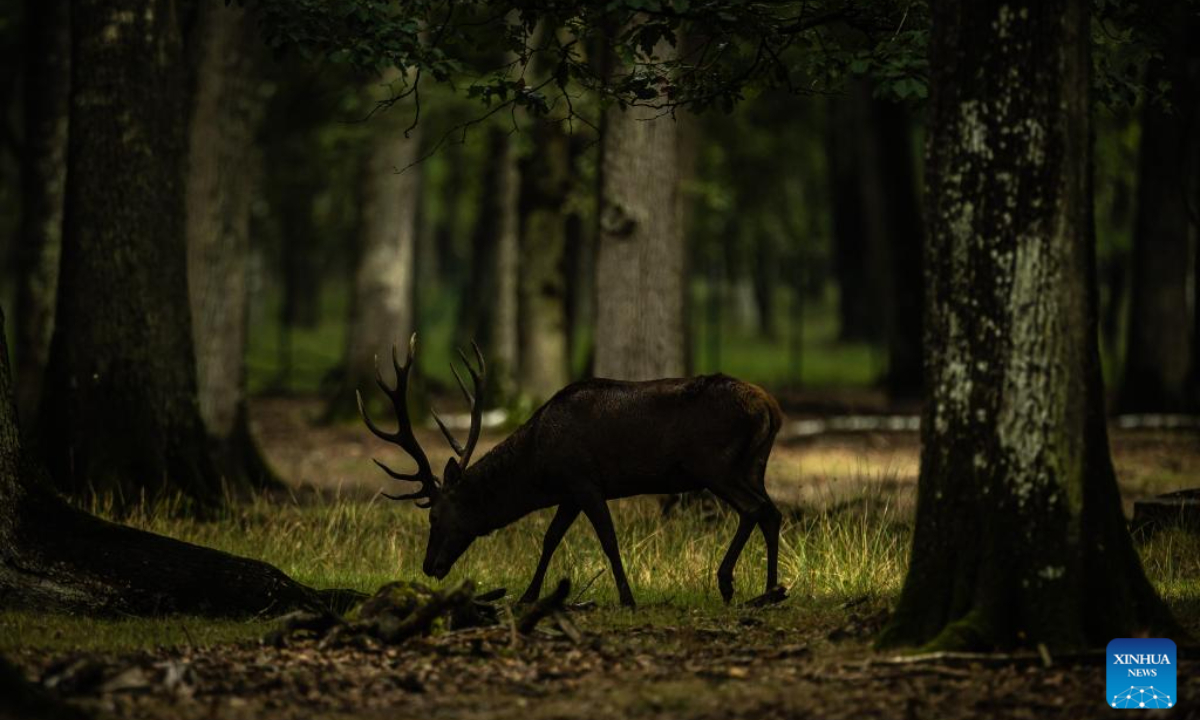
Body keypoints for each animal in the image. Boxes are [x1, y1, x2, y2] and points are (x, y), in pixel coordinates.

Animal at [358, 335, 784, 608]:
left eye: (435, 516)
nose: (429, 566)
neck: (538, 467)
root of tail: (772, 407)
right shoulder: (568, 492)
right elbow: (550, 539)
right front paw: (529, 595)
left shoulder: (584, 481)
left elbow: (608, 540)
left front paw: (627, 599)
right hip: (754, 465)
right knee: (772, 512)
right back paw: (770, 591)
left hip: (715, 465)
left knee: (754, 509)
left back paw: (729, 584)